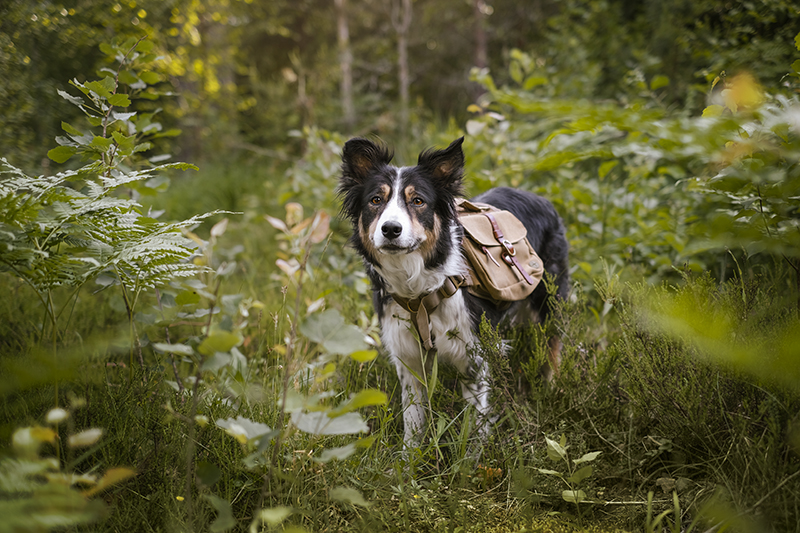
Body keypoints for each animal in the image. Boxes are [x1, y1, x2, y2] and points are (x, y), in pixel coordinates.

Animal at [338, 135, 568, 446]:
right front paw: (409, 457)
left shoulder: (475, 357)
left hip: (549, 300)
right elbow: (413, 422)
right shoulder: (408, 358)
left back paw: (551, 388)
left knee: (553, 346)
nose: (391, 229)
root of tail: (540, 197)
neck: (419, 288)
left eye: (418, 201)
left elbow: (475, 425)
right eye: (376, 200)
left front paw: (473, 456)